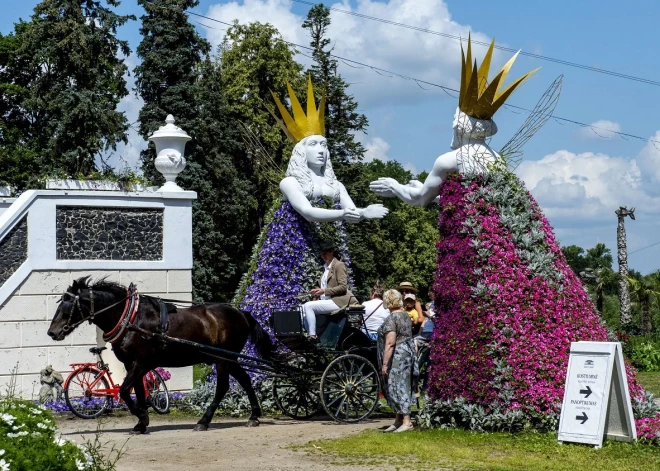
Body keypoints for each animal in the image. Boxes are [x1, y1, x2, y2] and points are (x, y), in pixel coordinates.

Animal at [47, 278, 272, 436]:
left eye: (67, 306)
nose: (52, 332)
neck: (131, 319)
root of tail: (241, 313)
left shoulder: (140, 363)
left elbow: (125, 390)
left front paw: (142, 416)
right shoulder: (131, 365)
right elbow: (137, 391)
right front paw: (141, 423)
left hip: (222, 359)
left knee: (223, 387)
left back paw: (204, 421)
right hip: (230, 360)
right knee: (245, 379)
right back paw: (254, 415)